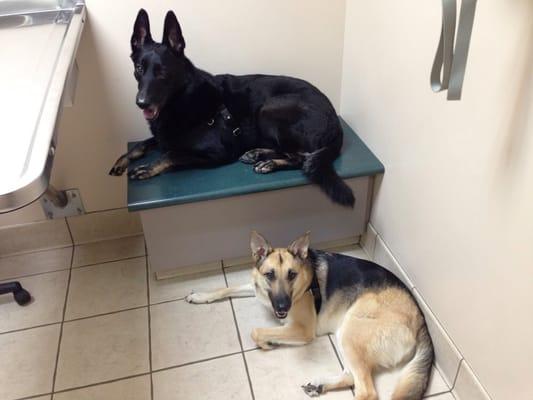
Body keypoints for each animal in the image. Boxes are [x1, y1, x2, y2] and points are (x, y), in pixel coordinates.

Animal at [109, 10, 354, 206]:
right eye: (139, 68)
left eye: (163, 71)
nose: (141, 103)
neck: (183, 98)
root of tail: (335, 121)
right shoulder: (163, 135)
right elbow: (143, 144)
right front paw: (123, 160)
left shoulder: (217, 152)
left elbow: (172, 154)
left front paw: (148, 167)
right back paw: (257, 153)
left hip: (269, 108)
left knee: (302, 157)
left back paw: (269, 163)